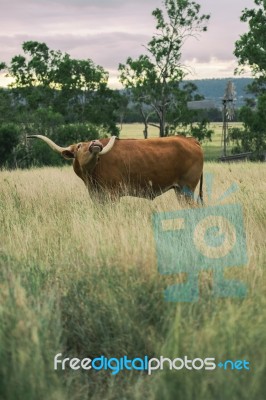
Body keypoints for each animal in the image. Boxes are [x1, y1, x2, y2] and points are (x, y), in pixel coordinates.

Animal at [27, 135, 204, 203]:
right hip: (180, 190)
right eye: (79, 146)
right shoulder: (97, 196)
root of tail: (190, 140)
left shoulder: (112, 195)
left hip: (186, 190)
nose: (95, 143)